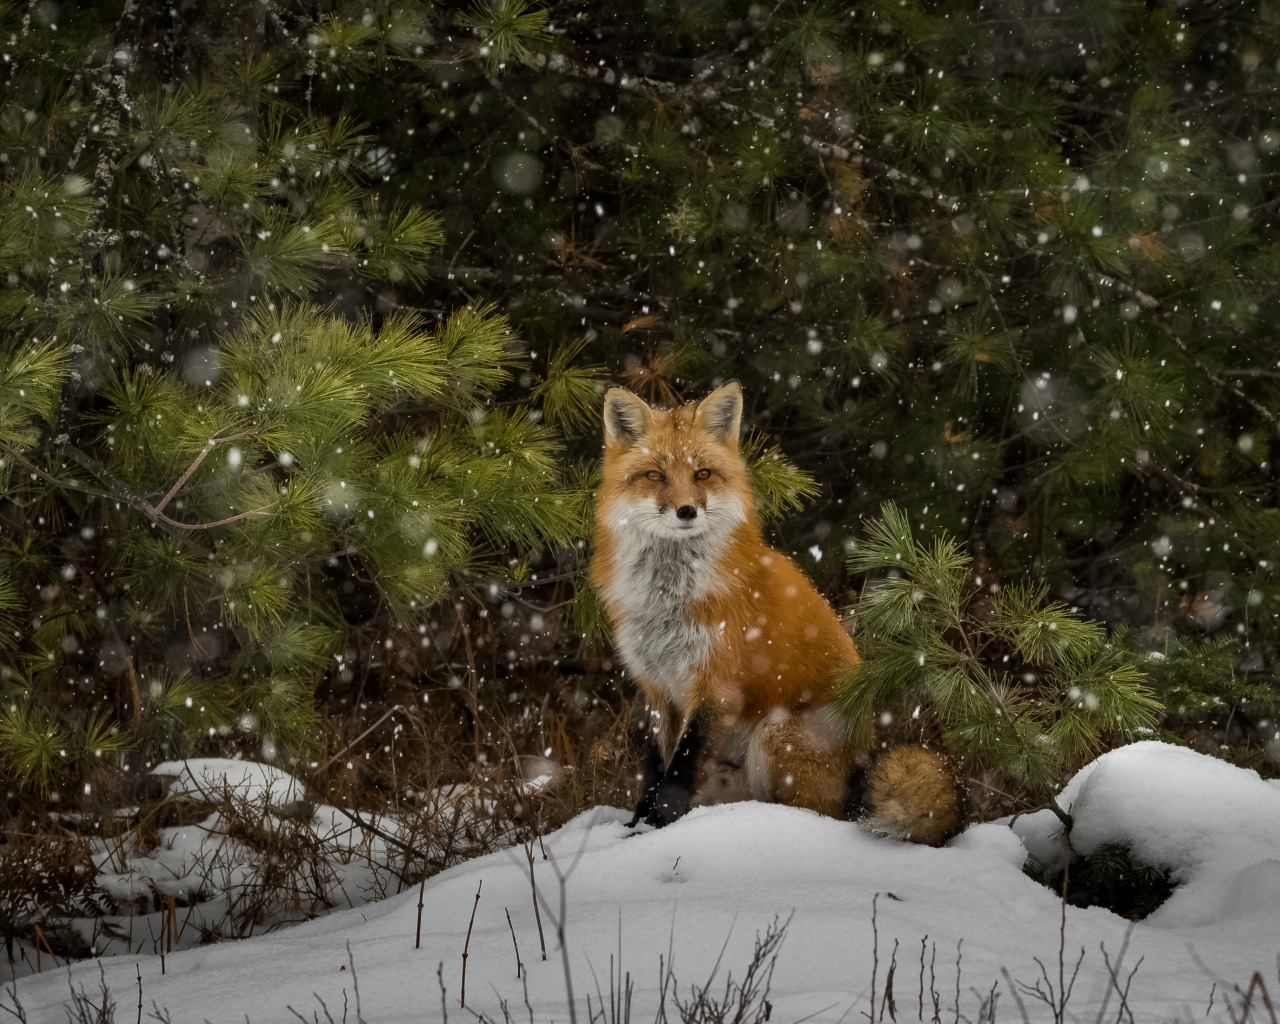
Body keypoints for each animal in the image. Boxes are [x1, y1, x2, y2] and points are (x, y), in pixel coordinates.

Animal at [593, 378, 962, 844]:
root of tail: (864, 758)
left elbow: (679, 772)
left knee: (819, 816)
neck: (670, 598)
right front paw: (637, 825)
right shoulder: (656, 687)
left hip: (776, 732)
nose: (687, 510)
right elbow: (655, 768)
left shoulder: (715, 684)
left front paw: (657, 829)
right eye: (655, 476)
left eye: (702, 474)